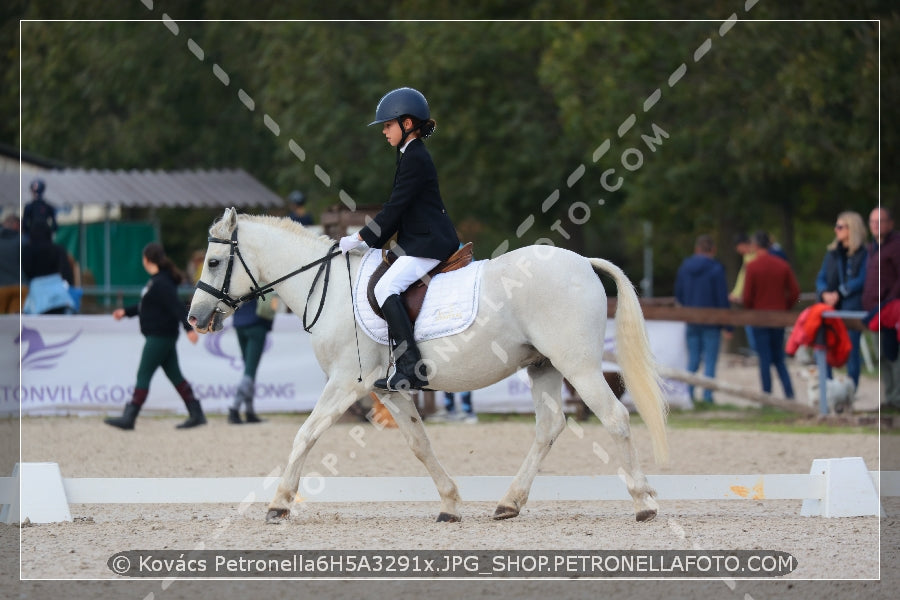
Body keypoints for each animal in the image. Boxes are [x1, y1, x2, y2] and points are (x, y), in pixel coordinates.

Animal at [190, 210, 668, 524]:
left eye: (213, 262)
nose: (194, 319)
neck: (327, 285)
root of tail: (583, 261)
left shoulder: (345, 383)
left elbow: (304, 435)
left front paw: (279, 502)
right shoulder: (386, 389)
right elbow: (420, 444)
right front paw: (450, 504)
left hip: (578, 365)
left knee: (616, 417)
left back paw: (644, 503)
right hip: (544, 366)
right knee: (549, 427)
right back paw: (509, 503)